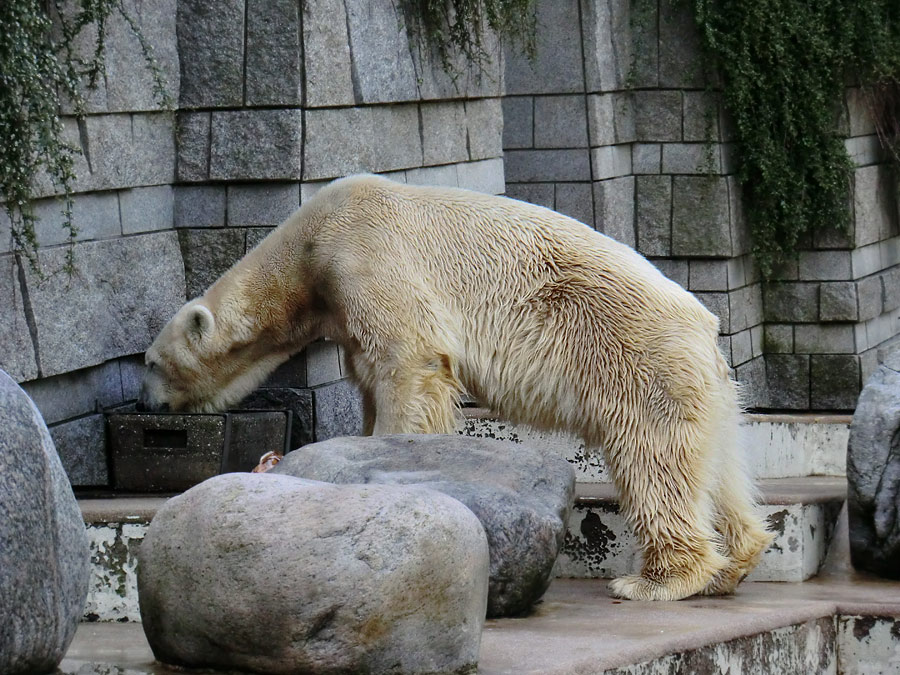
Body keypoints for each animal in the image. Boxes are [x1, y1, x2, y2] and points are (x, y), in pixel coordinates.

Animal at [141, 176, 772, 604]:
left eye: (149, 363)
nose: (145, 401)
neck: (306, 249)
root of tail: (705, 325)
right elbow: (370, 378)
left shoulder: (366, 258)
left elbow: (408, 363)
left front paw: (391, 450)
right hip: (708, 389)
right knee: (718, 467)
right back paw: (735, 561)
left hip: (636, 363)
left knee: (654, 460)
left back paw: (657, 581)